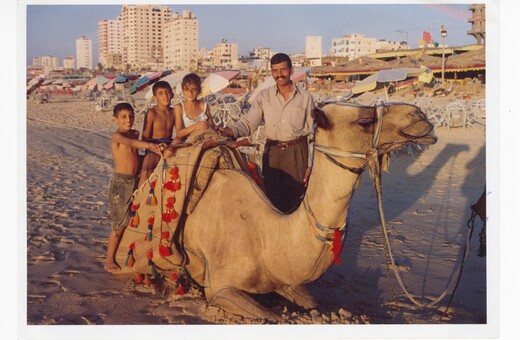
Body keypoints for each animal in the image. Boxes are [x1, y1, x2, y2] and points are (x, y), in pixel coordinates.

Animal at [114, 101, 434, 322]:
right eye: (364, 120)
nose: (420, 116)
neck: (266, 238)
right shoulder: (221, 288)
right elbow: (271, 316)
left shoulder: (284, 280)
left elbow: (311, 302)